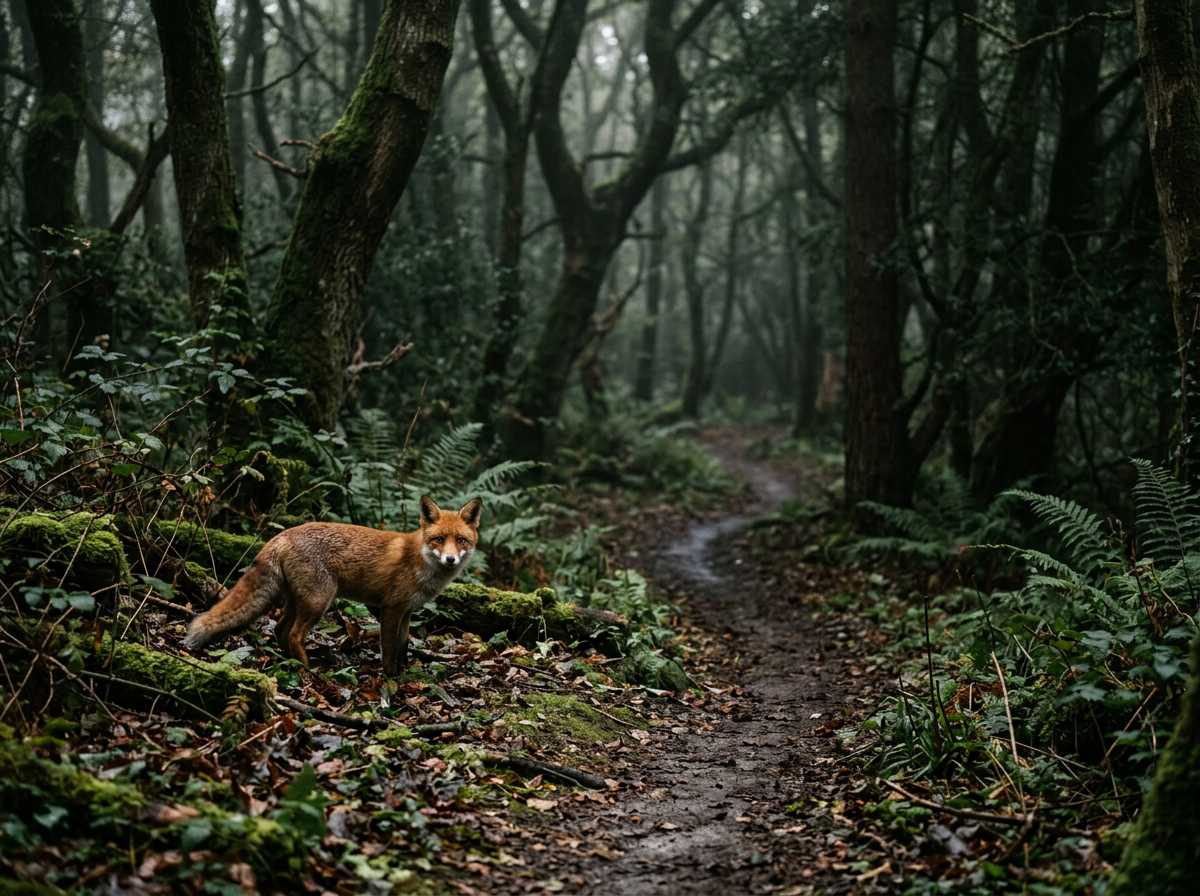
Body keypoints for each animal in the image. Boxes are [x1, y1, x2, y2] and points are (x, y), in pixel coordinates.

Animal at [181, 496, 482, 675]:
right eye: (439, 539)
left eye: (461, 540)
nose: (451, 559)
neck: (420, 561)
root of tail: (284, 534)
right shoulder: (390, 608)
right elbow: (388, 650)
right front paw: (389, 679)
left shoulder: (407, 611)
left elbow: (403, 646)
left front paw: (402, 673)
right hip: (319, 601)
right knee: (294, 634)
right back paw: (308, 671)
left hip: (299, 600)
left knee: (280, 629)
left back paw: (289, 661)